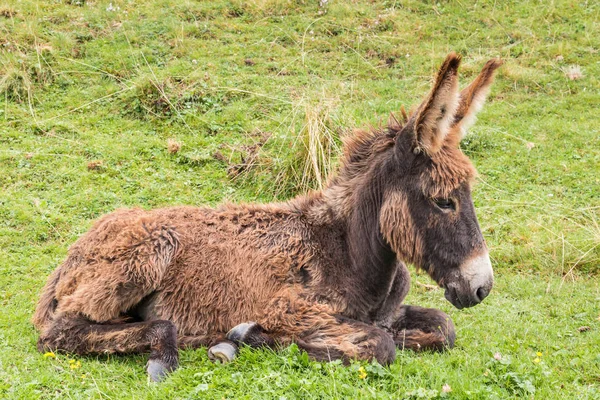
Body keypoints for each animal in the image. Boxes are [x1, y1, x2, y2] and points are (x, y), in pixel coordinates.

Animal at [34, 54, 502, 382]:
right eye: (444, 201)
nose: (482, 287)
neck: (351, 254)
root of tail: (75, 251)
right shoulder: (289, 310)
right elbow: (378, 344)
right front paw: (244, 338)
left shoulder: (390, 312)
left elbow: (442, 327)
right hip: (147, 252)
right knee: (61, 332)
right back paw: (173, 351)